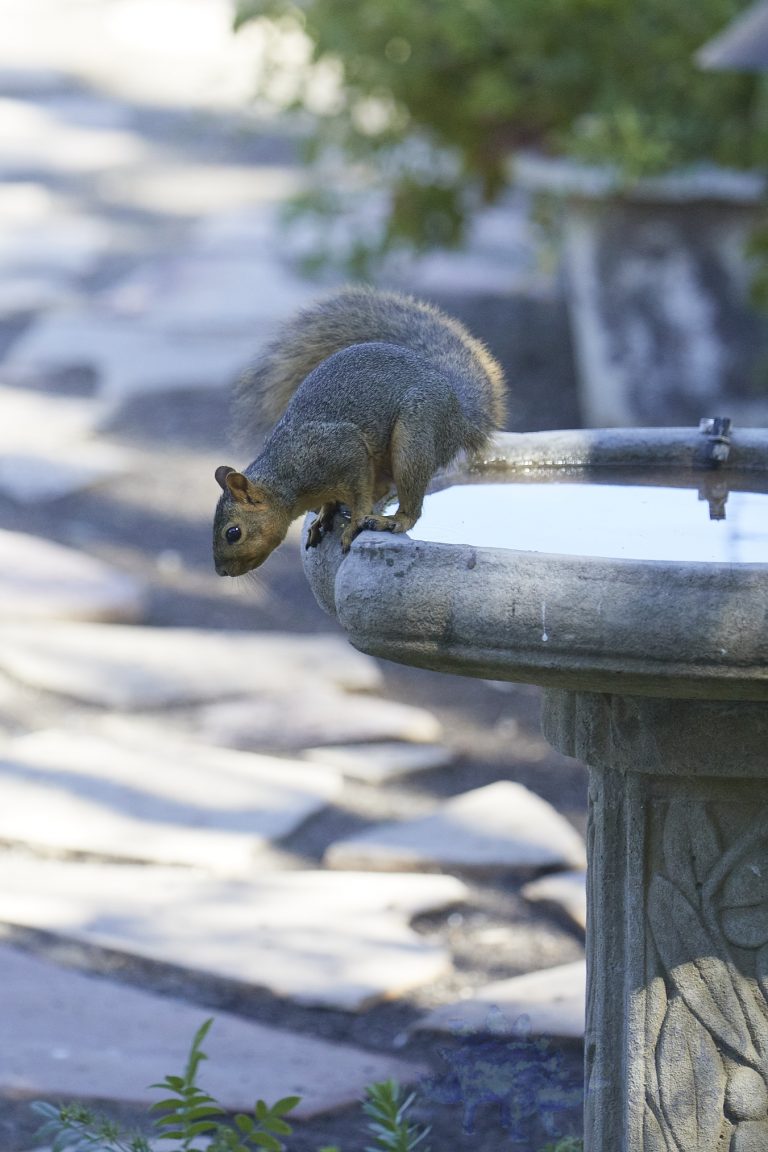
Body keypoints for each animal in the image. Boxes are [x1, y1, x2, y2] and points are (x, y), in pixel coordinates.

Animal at [212, 285, 506, 576]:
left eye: (233, 533)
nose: (222, 572)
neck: (287, 475)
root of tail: (458, 413)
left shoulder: (343, 450)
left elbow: (359, 495)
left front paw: (354, 523)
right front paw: (324, 514)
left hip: (416, 436)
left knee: (409, 504)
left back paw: (392, 520)